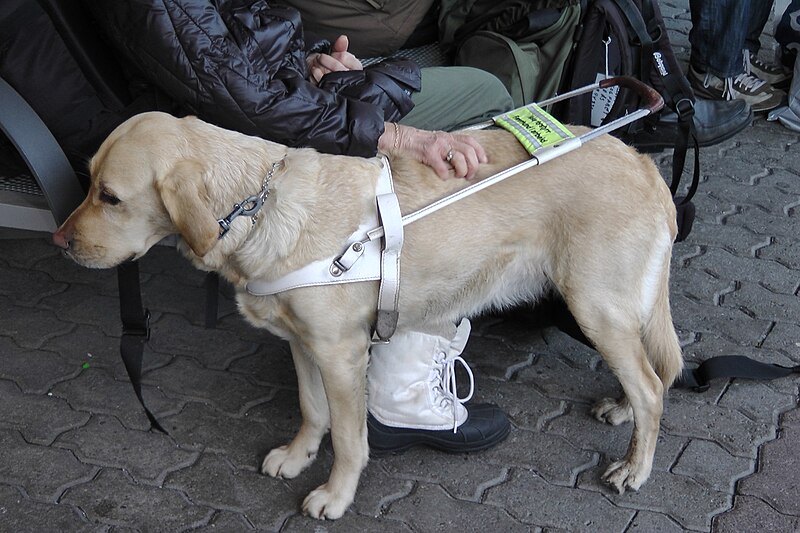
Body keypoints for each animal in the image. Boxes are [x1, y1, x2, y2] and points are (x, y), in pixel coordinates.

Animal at [53, 113, 684, 520]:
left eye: (110, 197)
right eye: (89, 181)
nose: (59, 242)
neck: (262, 209)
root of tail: (642, 162)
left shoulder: (342, 354)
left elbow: (351, 439)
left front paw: (335, 495)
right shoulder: (303, 345)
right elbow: (312, 412)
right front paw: (298, 456)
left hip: (594, 306)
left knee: (653, 386)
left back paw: (635, 466)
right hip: (612, 312)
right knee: (649, 374)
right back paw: (622, 410)